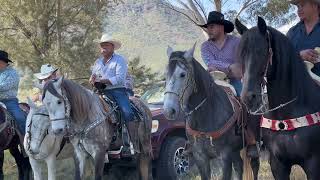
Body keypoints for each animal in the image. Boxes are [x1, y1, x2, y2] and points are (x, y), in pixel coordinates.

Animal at [162, 45, 260, 180]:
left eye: (182, 74)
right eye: (165, 75)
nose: (169, 110)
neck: (207, 114)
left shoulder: (225, 156)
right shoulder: (200, 157)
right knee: (239, 166)